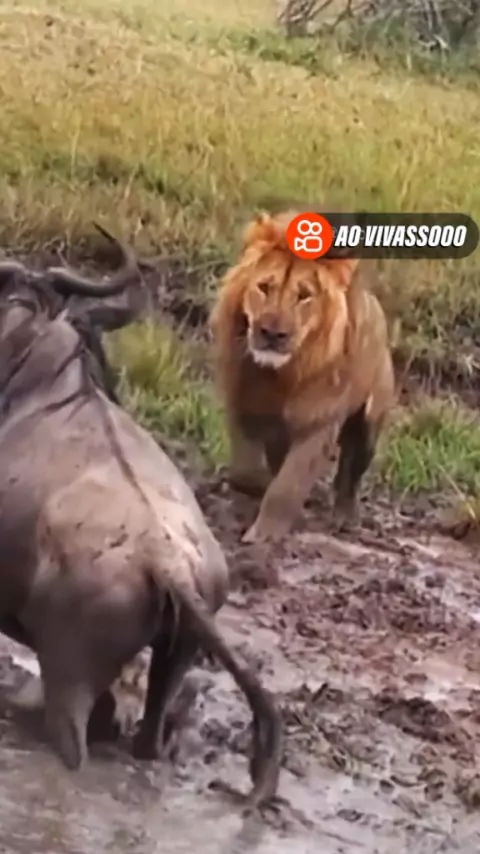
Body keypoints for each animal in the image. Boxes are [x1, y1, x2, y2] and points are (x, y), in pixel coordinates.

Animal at [209, 210, 396, 543]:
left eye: (304, 296)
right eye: (264, 287)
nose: (272, 334)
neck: (279, 374)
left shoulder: (318, 423)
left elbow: (286, 488)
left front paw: (263, 538)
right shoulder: (242, 403)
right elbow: (246, 471)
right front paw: (254, 488)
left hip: (369, 424)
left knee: (351, 472)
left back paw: (344, 517)